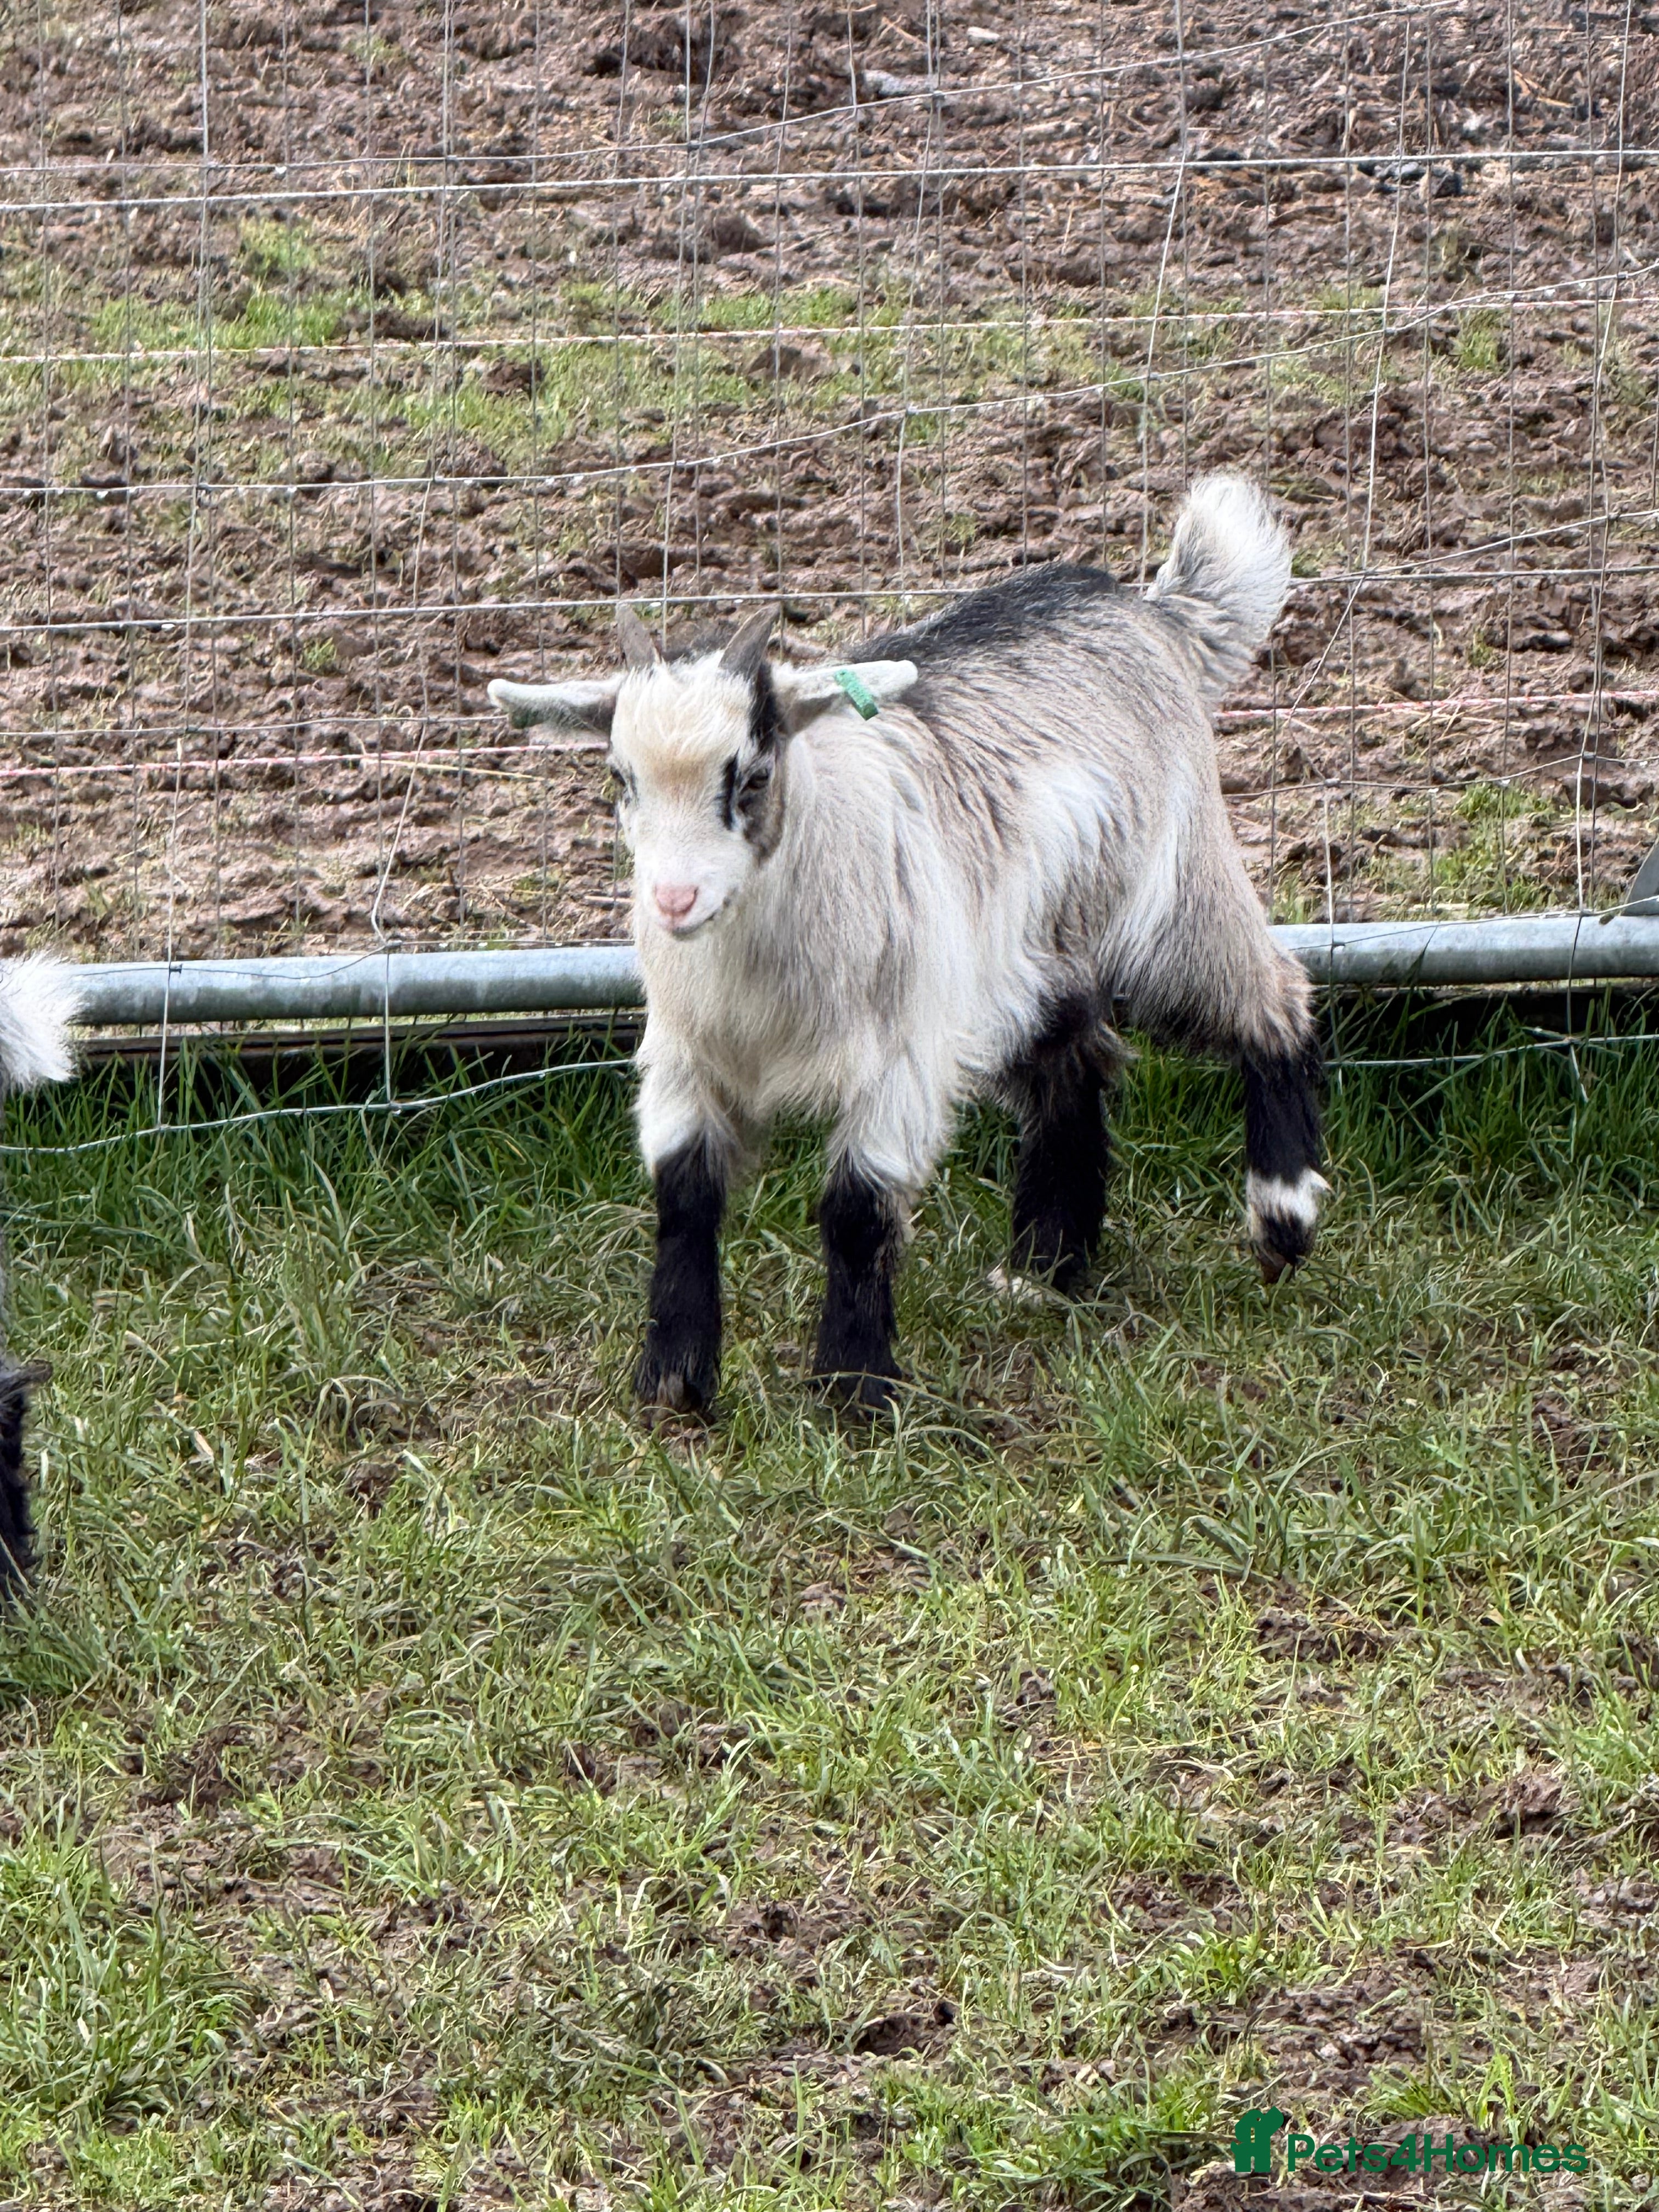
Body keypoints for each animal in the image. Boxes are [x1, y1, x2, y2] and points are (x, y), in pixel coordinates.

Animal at [490, 475, 1325, 1413]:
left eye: (753, 776)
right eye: (619, 778)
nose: (674, 899)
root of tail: (1152, 612)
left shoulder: (901, 1055)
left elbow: (856, 1211)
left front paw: (853, 1386)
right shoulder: (683, 1055)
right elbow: (684, 1197)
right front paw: (674, 1377)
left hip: (1170, 907)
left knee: (1274, 998)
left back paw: (1282, 1215)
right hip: (1023, 955)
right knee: (1074, 1062)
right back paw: (1044, 1266)